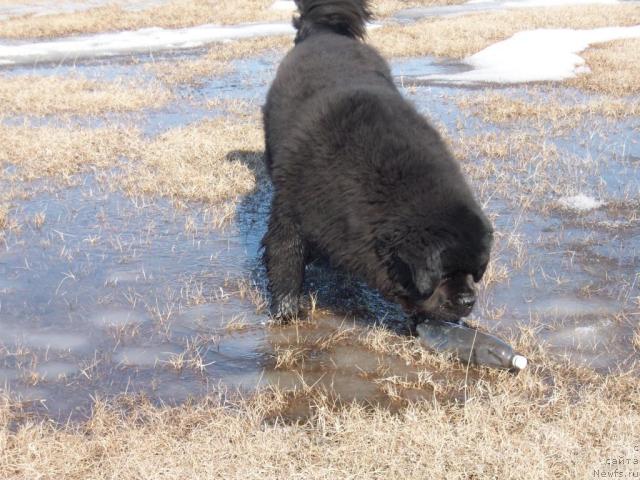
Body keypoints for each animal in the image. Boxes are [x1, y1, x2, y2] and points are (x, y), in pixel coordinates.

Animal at [262, 0, 492, 326]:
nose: (467, 300)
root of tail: (324, 32)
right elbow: (285, 255)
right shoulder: (292, 207)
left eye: (475, 272)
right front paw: (286, 311)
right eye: (444, 273)